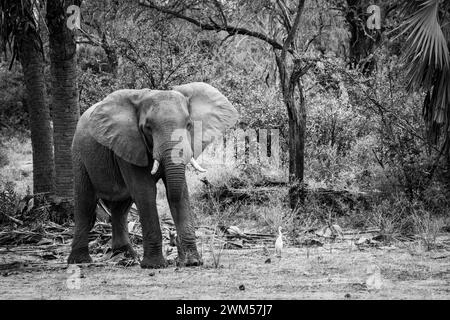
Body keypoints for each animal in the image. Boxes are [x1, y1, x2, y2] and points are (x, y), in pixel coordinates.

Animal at [67, 82, 239, 268]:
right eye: (147, 128)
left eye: (188, 124)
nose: (175, 240)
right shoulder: (129, 144)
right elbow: (145, 192)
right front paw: (154, 265)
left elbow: (180, 193)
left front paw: (192, 261)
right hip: (78, 155)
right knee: (85, 205)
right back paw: (80, 261)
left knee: (121, 208)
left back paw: (126, 256)